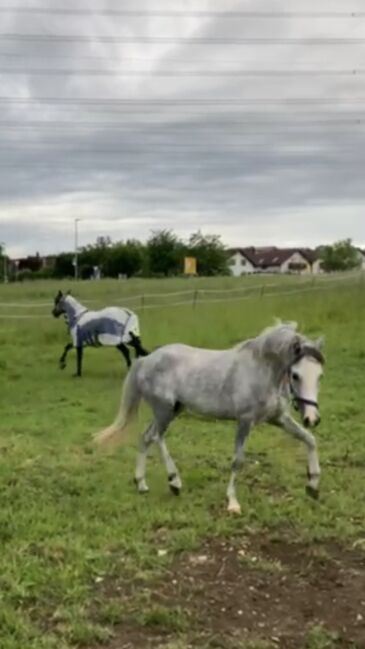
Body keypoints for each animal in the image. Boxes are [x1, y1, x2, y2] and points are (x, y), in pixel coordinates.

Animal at [94, 318, 324, 512]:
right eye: (296, 375)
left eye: (320, 375)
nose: (312, 419)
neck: (261, 371)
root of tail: (145, 360)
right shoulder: (244, 421)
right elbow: (238, 460)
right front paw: (232, 502)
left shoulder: (278, 419)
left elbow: (310, 440)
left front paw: (313, 485)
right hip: (164, 410)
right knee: (156, 437)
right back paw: (174, 481)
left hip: (173, 410)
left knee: (145, 437)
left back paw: (141, 484)